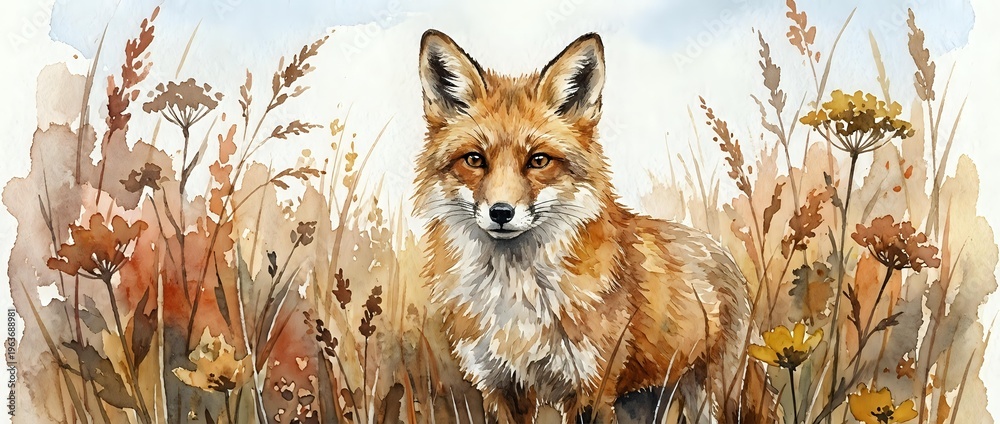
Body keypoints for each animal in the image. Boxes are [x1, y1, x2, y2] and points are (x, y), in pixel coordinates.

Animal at [413, 30, 776, 423]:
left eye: (538, 160)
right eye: (475, 160)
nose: (501, 212)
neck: (517, 296)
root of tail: (722, 254)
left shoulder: (591, 388)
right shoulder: (501, 386)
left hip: (719, 397)